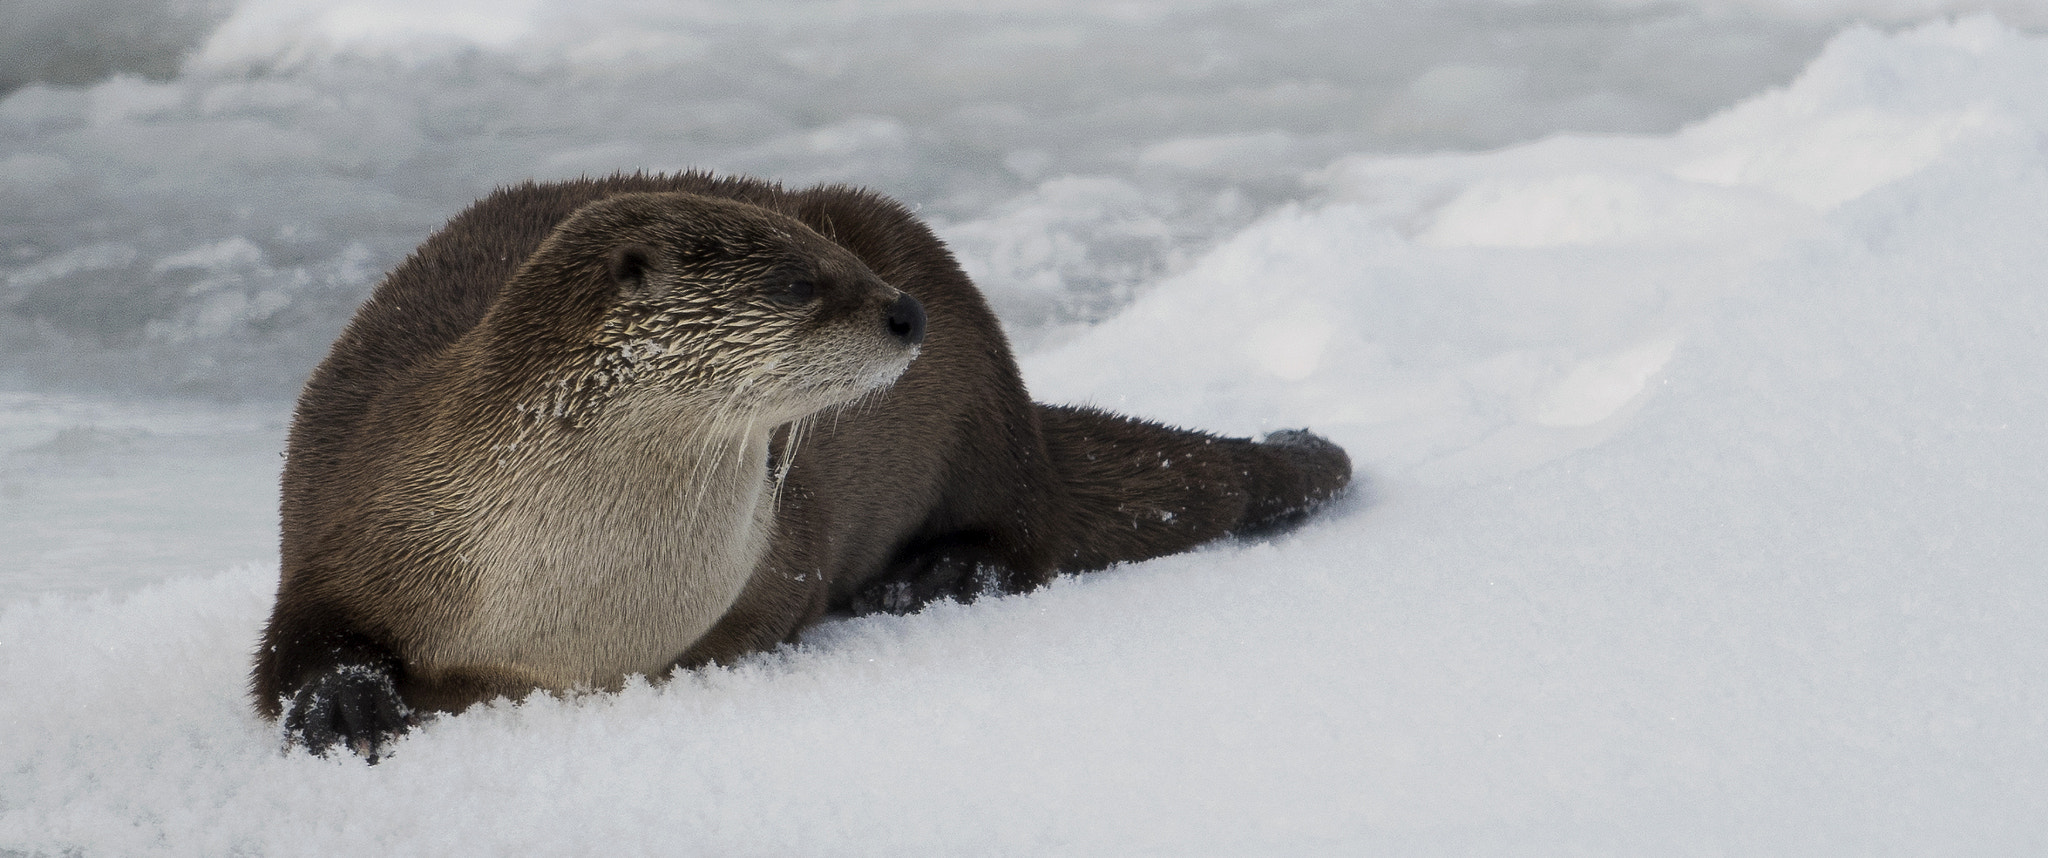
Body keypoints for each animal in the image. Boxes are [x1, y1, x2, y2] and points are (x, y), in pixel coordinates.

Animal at [251, 173, 1343, 757]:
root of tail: (1026, 417)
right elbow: (294, 647)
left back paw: (936, 575)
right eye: (793, 283)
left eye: (843, 260)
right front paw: (342, 705)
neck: (562, 604)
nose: (905, 311)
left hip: (983, 401)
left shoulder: (778, 558)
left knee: (1025, 528)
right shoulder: (347, 516)